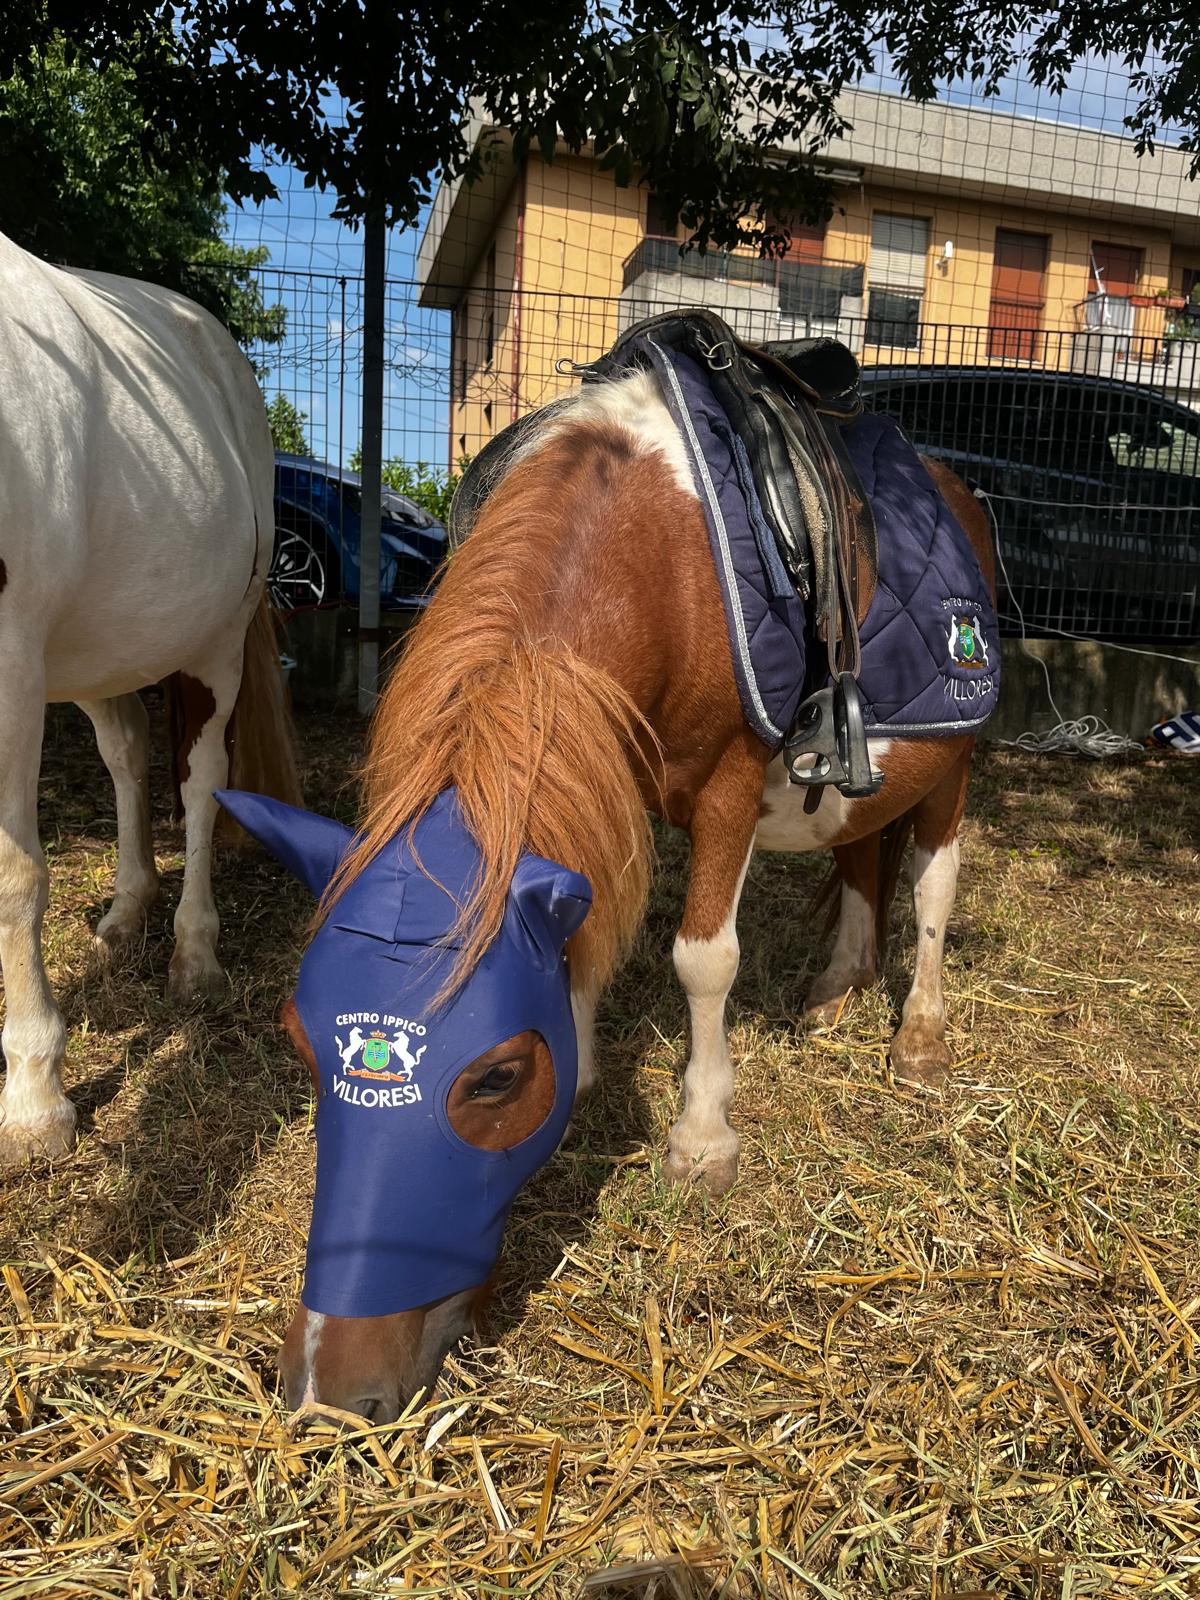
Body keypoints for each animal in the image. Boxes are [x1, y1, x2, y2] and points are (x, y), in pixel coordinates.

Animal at [0, 231, 298, 1172]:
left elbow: (14, 874)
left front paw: (34, 1097)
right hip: (101, 652)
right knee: (127, 754)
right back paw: (129, 909)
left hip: (211, 646)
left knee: (200, 783)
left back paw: (194, 955)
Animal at [267, 361, 995, 1422]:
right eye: (301, 1045)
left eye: (496, 1076)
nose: (330, 1393)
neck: (666, 560)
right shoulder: (602, 774)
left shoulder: (730, 787)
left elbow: (704, 961)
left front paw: (702, 1141)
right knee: (862, 858)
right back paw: (836, 990)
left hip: (953, 764)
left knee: (933, 886)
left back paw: (922, 1040)